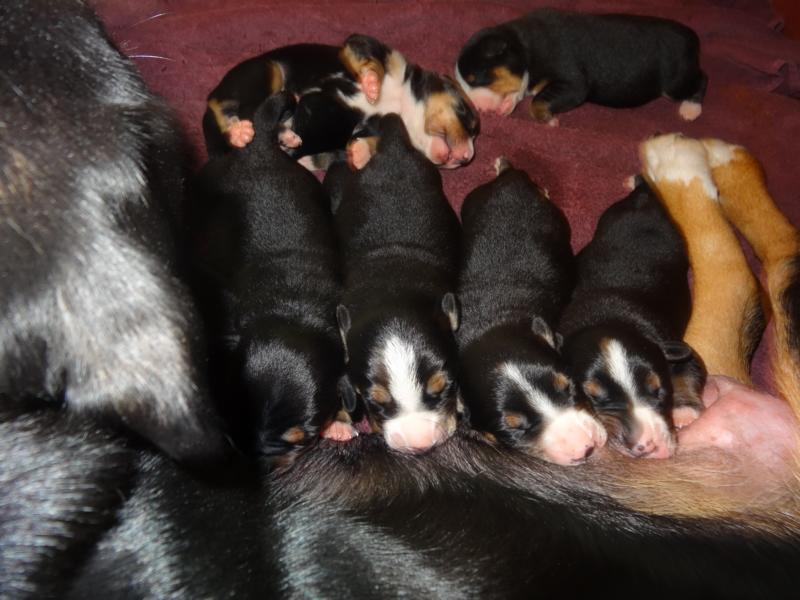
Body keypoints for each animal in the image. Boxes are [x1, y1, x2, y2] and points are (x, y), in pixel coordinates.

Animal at [203, 34, 478, 169]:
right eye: (466, 114)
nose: (466, 158)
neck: (399, 103)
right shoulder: (366, 46)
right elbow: (369, 60)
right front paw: (371, 84)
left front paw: (360, 153)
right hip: (268, 71)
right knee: (235, 109)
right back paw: (241, 130)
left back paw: (274, 136)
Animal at [326, 114, 461, 453]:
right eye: (375, 403)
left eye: (444, 389)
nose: (420, 444)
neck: (393, 285)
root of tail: (395, 150)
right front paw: (337, 423)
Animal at [455, 8, 707, 124]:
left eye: (476, 78)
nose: (474, 107)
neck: (525, 46)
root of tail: (690, 35)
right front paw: (508, 105)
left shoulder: (573, 82)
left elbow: (538, 101)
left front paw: (548, 119)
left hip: (675, 81)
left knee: (702, 78)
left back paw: (690, 109)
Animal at [558, 181, 706, 459]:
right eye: (593, 397)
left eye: (659, 390)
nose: (648, 447)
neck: (608, 316)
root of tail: (641, 199)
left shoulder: (678, 348)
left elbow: (691, 371)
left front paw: (684, 411)